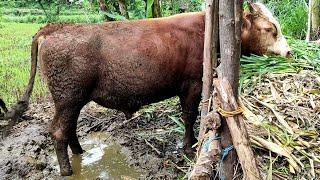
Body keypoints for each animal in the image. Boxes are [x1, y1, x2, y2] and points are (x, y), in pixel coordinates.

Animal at [4, 2, 290, 176]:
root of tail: (55, 28)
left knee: (68, 129)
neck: (208, 31)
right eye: (270, 29)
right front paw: (188, 147)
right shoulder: (191, 86)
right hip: (68, 97)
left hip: (71, 100)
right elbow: (188, 117)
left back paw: (80, 153)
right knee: (58, 132)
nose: (288, 52)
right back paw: (67, 170)